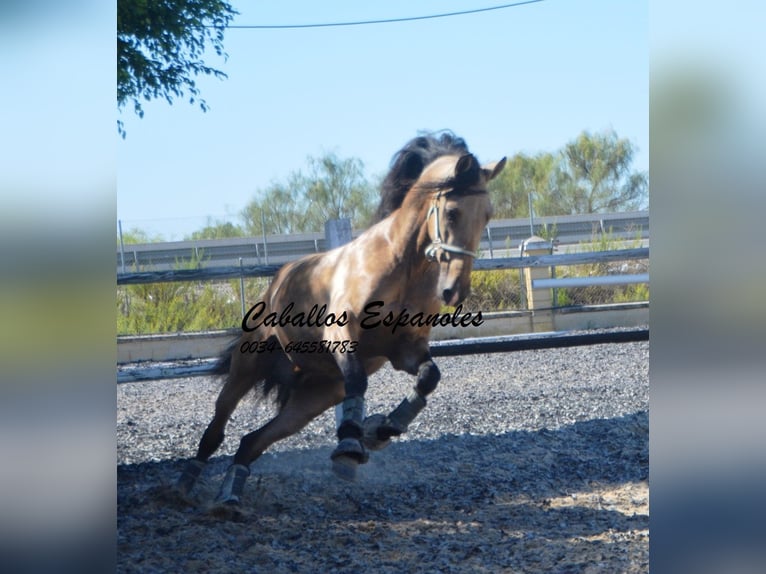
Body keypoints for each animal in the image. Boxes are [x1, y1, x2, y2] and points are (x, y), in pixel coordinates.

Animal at [177, 133, 508, 506]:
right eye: (452, 212)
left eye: (487, 215)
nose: (455, 291)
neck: (403, 267)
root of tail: (279, 279)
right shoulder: (342, 336)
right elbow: (358, 380)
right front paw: (351, 444)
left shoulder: (405, 350)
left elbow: (428, 377)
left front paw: (384, 428)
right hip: (247, 367)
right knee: (216, 428)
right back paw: (182, 487)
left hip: (314, 398)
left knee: (252, 442)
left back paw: (229, 497)